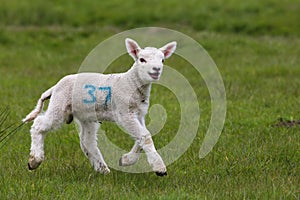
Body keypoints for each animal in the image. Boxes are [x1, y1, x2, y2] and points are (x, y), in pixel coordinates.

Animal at [24, 38, 178, 176]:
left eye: (163, 60)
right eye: (142, 59)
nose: (156, 70)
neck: (131, 82)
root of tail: (55, 87)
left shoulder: (139, 114)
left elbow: (142, 136)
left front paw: (126, 160)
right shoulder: (124, 113)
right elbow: (145, 136)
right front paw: (160, 168)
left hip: (86, 116)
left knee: (87, 141)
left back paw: (103, 169)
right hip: (59, 105)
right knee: (39, 125)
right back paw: (34, 160)